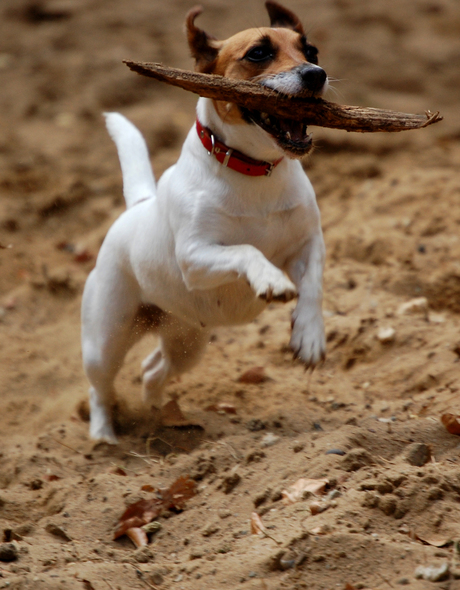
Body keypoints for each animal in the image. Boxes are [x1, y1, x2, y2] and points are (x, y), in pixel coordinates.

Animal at [82, 1, 328, 444]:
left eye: (311, 51)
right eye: (258, 53)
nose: (316, 74)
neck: (255, 171)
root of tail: (137, 206)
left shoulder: (309, 243)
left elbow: (313, 285)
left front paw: (309, 337)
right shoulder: (195, 258)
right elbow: (246, 250)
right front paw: (271, 279)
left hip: (188, 340)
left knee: (152, 370)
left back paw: (161, 412)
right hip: (105, 340)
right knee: (100, 386)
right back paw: (104, 435)